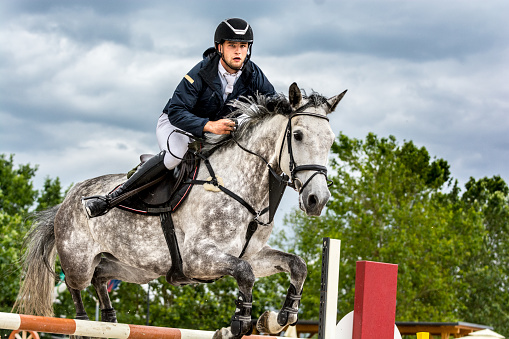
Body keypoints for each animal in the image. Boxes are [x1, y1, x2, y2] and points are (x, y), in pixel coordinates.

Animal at [13, 83, 346, 339]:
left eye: (330, 141)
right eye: (298, 135)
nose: (317, 199)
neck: (240, 185)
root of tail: (68, 199)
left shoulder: (251, 253)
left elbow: (295, 265)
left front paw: (278, 318)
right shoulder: (198, 258)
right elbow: (245, 274)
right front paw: (239, 323)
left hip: (131, 267)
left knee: (100, 277)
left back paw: (109, 319)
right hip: (78, 261)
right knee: (75, 285)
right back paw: (82, 321)